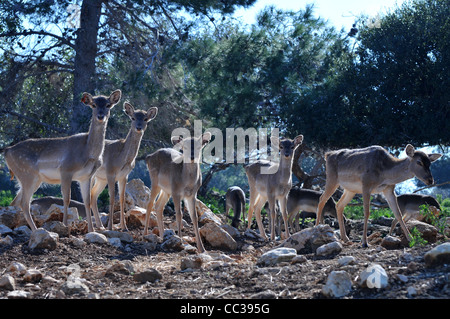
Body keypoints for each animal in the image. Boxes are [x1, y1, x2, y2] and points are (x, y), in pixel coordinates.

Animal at [4, 89, 120, 232]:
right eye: (93, 105)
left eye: (108, 105)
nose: (100, 116)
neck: (88, 152)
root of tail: (7, 151)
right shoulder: (66, 169)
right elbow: (66, 199)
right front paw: (65, 225)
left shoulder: (86, 176)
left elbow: (87, 201)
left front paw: (92, 230)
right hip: (27, 174)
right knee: (24, 203)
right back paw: (36, 229)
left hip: (33, 179)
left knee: (15, 201)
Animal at [314, 144, 442, 248]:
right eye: (419, 162)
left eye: (429, 163)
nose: (430, 180)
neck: (385, 174)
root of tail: (327, 155)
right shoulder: (366, 185)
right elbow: (367, 213)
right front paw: (364, 242)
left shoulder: (389, 189)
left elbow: (398, 214)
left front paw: (411, 239)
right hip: (332, 179)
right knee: (322, 199)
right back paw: (316, 228)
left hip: (350, 189)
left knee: (339, 205)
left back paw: (345, 238)